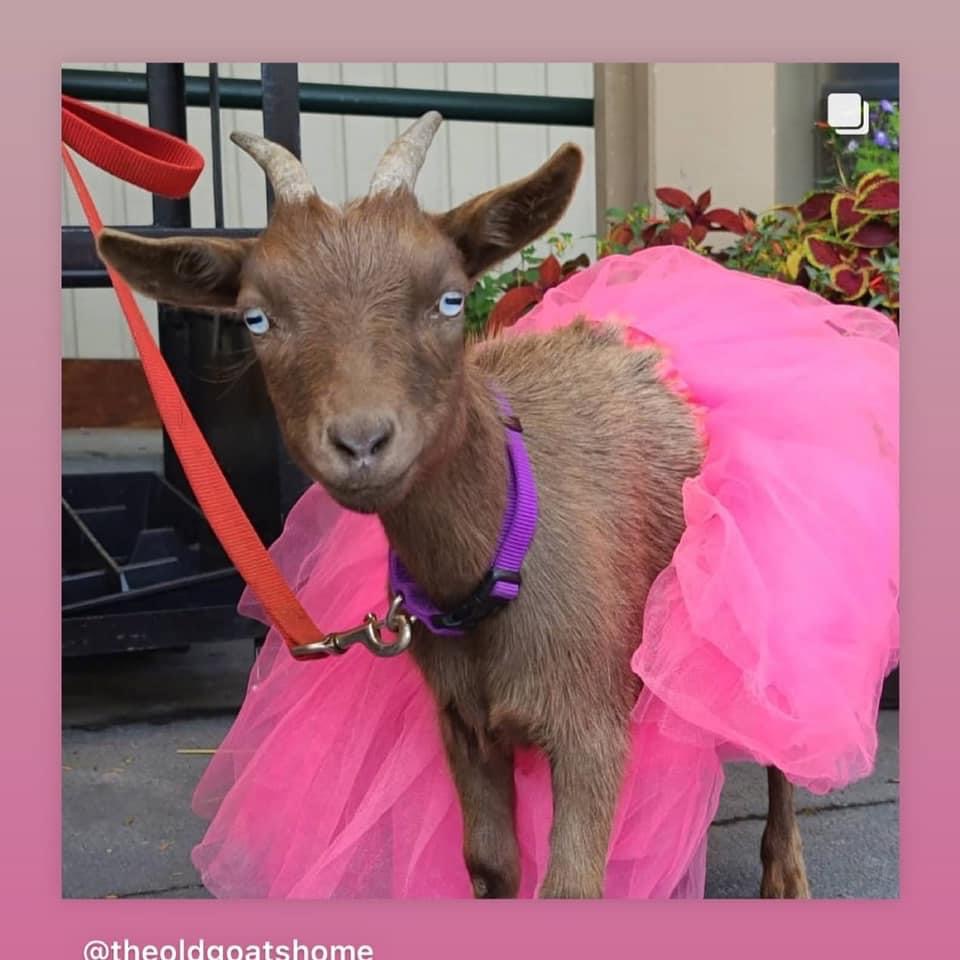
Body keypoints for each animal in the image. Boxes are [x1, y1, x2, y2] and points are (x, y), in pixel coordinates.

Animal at [96, 111, 811, 899]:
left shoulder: (590, 723)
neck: (500, 557)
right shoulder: (462, 724)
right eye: (256, 318)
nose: (362, 440)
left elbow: (572, 885)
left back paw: (784, 873)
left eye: (450, 298)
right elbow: (490, 865)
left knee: (781, 736)